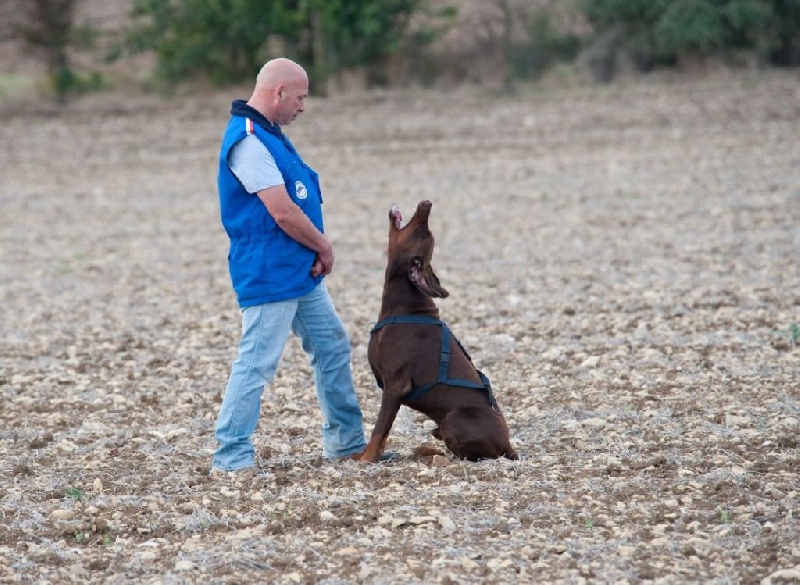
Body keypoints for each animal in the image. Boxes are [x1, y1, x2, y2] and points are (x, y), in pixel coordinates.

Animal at [360, 201, 520, 460]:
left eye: (422, 233)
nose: (426, 203)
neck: (405, 307)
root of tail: (508, 446)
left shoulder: (395, 386)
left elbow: (379, 430)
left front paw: (365, 460)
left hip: (453, 419)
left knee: (463, 454)